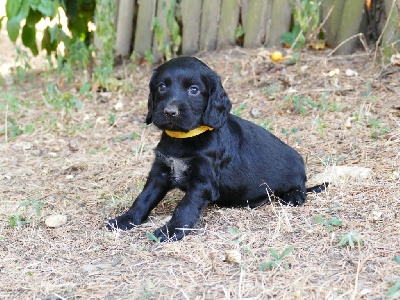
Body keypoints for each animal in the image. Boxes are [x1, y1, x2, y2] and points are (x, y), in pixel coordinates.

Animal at [107, 56, 328, 241]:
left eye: (194, 90)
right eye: (162, 86)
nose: (169, 112)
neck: (184, 138)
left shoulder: (203, 182)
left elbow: (184, 207)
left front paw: (171, 230)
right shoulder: (160, 171)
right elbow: (144, 198)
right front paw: (126, 219)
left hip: (295, 175)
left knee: (300, 188)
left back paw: (293, 195)